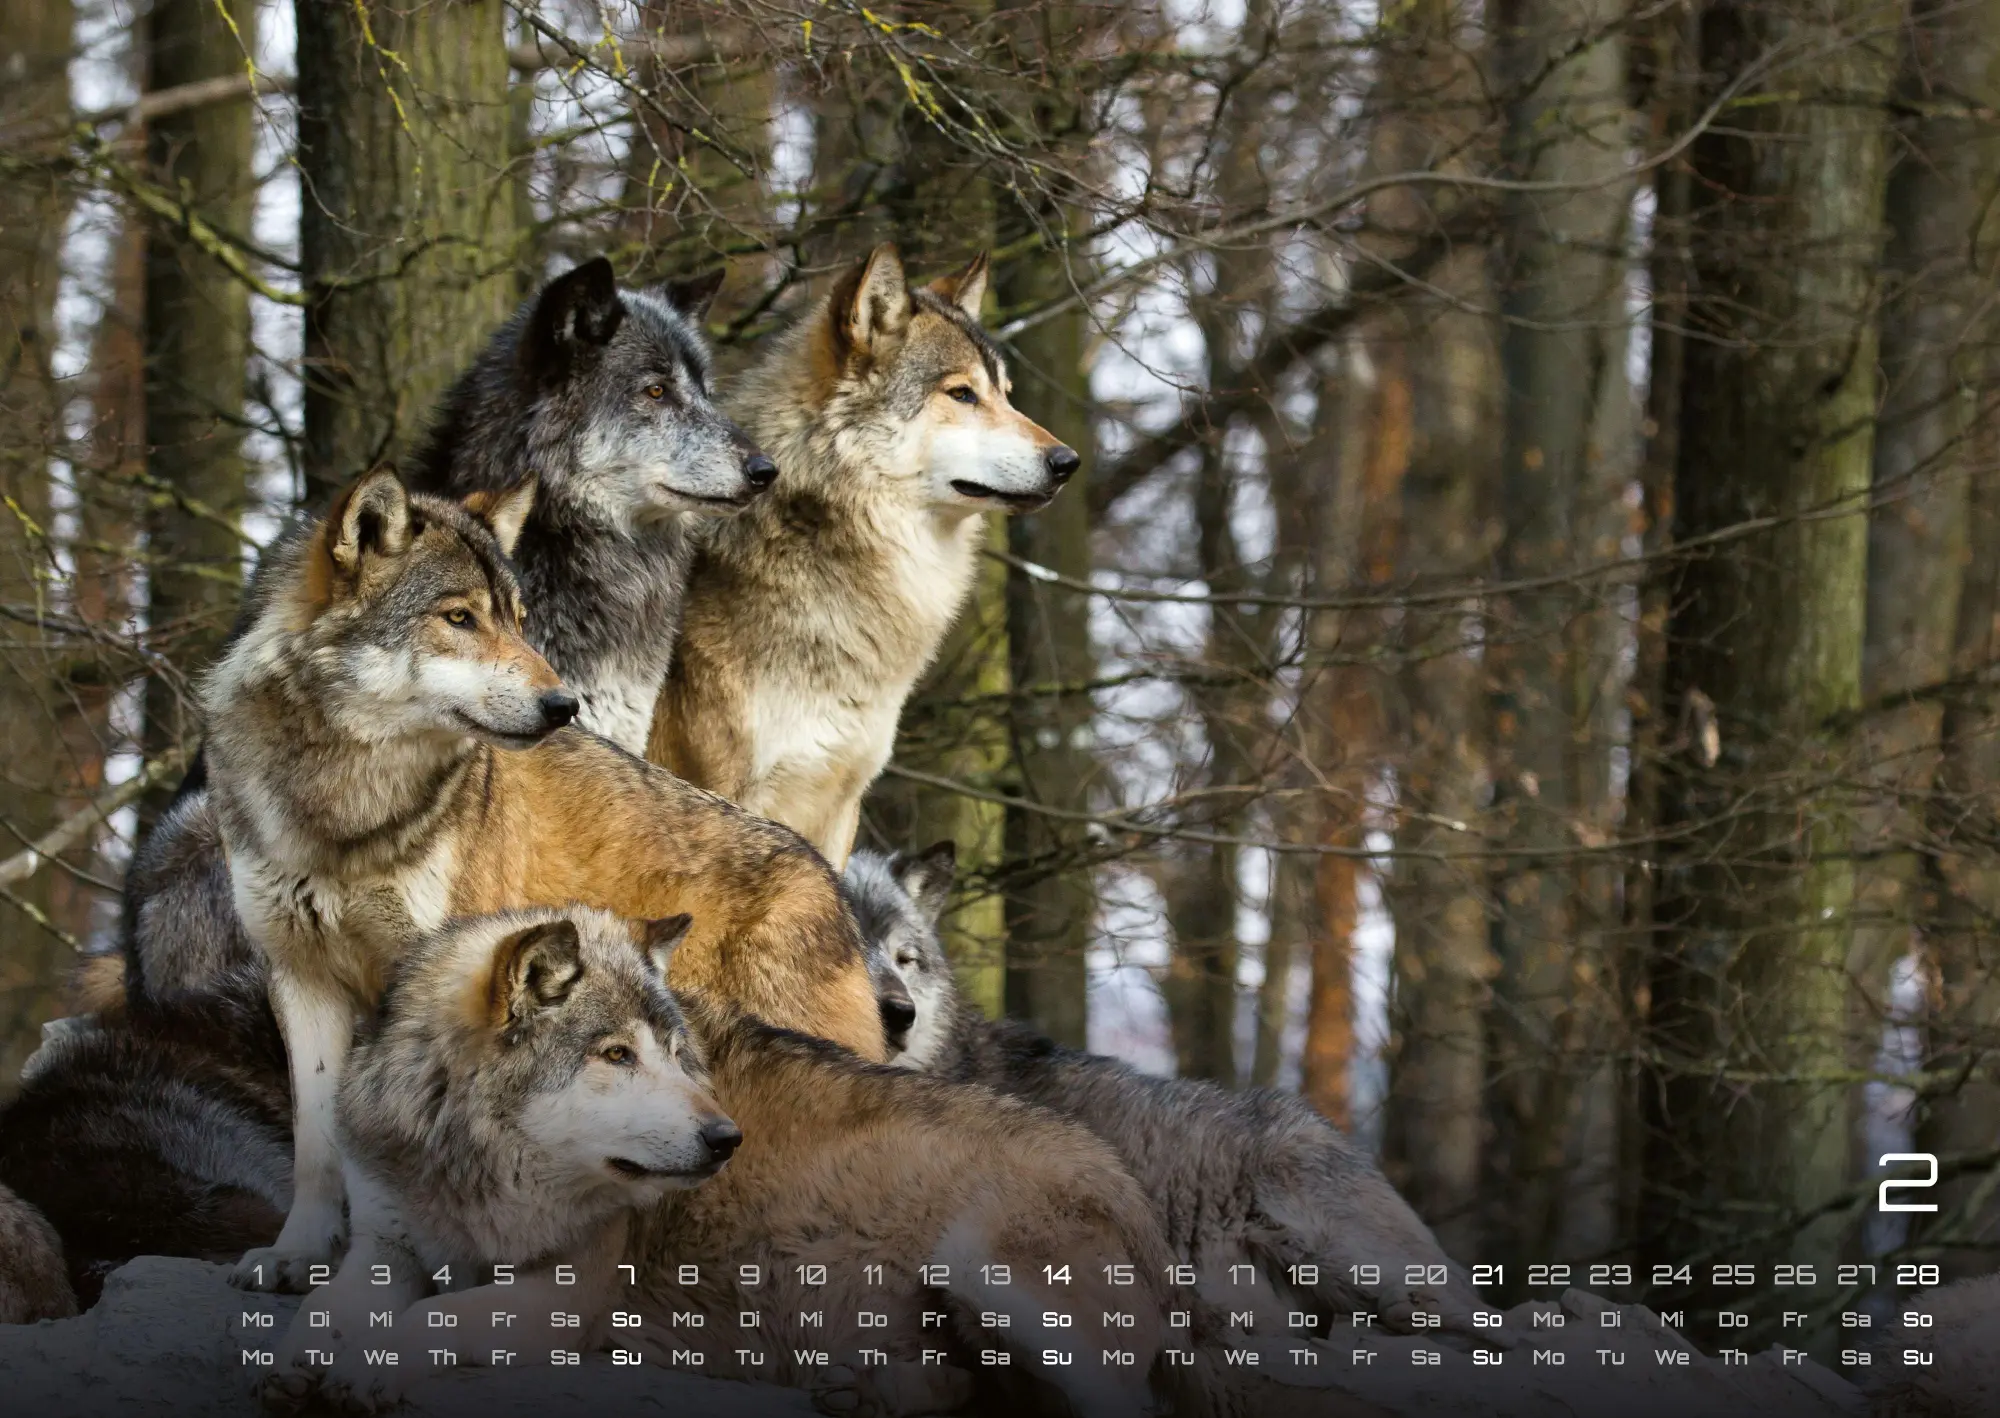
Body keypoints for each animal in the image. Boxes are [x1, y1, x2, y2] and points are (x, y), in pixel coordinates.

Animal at [203, 469, 882, 1294]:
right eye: (459, 618)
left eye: (520, 621)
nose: (563, 705)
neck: (345, 806)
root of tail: (829, 880)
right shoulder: (300, 979)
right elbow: (316, 1141)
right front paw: (298, 1254)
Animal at [268, 905, 1181, 1418]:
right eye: (616, 1056)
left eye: (679, 1056)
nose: (725, 1140)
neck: (474, 1166)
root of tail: (1136, 1193)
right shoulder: (385, 1246)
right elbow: (321, 1310)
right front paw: (304, 1356)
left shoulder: (567, 1300)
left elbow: (428, 1321)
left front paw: (362, 1372)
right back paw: (864, 1392)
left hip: (991, 1274)